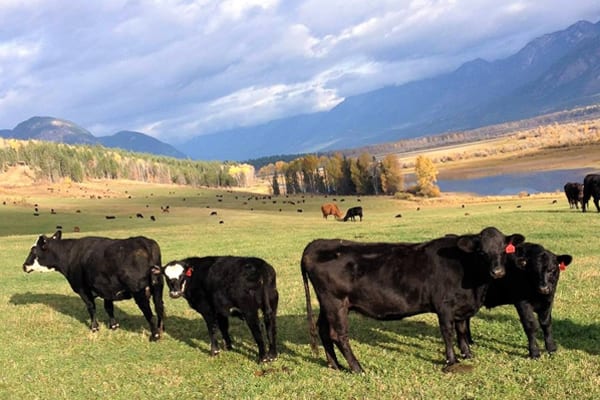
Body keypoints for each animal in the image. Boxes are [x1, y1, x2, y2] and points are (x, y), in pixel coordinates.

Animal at [22, 230, 165, 340]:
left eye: (34, 251)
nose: (24, 266)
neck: (71, 255)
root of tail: (144, 242)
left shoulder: (82, 289)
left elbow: (91, 307)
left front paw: (94, 327)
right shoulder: (107, 289)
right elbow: (109, 308)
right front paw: (113, 326)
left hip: (139, 292)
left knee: (148, 312)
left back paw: (155, 336)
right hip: (158, 287)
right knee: (159, 307)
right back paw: (161, 329)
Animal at [300, 227, 524, 374]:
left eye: (503, 249)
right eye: (482, 252)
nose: (497, 272)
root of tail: (316, 243)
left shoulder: (462, 307)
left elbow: (461, 331)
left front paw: (468, 355)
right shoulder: (444, 307)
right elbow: (448, 333)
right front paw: (451, 361)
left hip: (327, 305)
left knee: (323, 330)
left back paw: (335, 365)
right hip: (336, 303)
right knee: (338, 335)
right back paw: (357, 368)